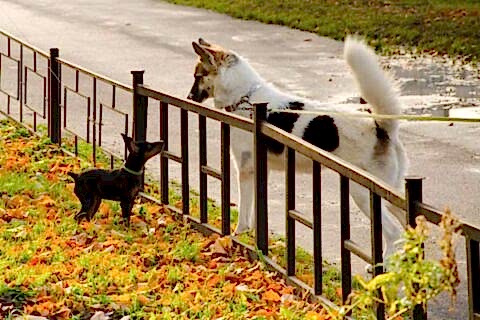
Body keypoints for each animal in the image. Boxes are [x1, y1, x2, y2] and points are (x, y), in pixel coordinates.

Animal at [187, 37, 404, 258]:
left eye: (198, 76)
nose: (188, 97)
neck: (245, 98)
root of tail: (380, 125)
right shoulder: (259, 171)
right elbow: (256, 214)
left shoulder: (246, 171)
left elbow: (243, 215)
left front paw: (237, 236)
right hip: (390, 194)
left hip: (363, 194)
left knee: (394, 233)